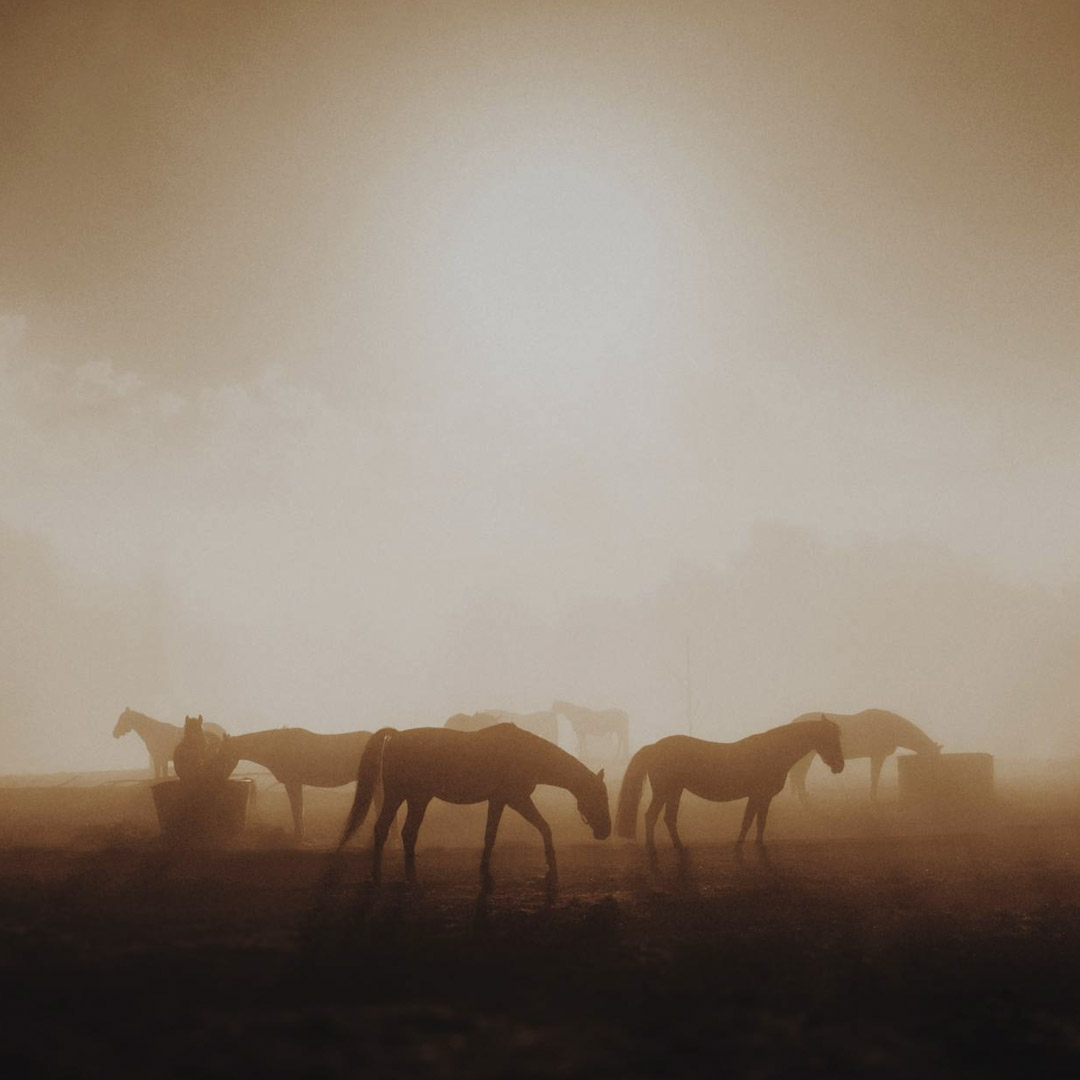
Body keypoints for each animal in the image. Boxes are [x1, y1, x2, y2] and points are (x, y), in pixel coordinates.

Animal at [217, 725, 373, 842]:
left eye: (223, 753)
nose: (219, 776)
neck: (278, 747)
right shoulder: (295, 783)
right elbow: (299, 808)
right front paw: (300, 833)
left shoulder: (293, 783)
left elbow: (296, 808)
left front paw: (299, 835)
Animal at [336, 725, 609, 894]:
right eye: (599, 797)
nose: (605, 831)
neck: (525, 754)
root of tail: (396, 736)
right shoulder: (517, 799)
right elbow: (544, 827)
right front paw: (551, 873)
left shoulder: (499, 800)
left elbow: (490, 835)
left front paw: (486, 875)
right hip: (403, 796)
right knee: (390, 830)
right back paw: (391, 877)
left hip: (414, 798)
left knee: (401, 832)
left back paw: (400, 877)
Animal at [617, 712, 842, 864]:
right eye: (831, 738)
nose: (839, 766)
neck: (772, 752)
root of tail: (654, 747)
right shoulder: (760, 796)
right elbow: (752, 821)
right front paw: (746, 846)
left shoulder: (760, 797)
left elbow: (754, 822)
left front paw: (750, 844)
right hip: (664, 792)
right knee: (651, 816)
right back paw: (652, 849)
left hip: (674, 791)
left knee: (668, 818)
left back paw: (679, 846)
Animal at [790, 708, 941, 803]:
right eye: (933, 759)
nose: (935, 778)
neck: (892, 728)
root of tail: (795, 721)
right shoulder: (878, 756)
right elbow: (875, 777)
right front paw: (873, 799)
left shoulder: (876, 756)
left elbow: (874, 777)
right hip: (807, 756)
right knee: (800, 776)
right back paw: (804, 801)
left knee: (799, 776)